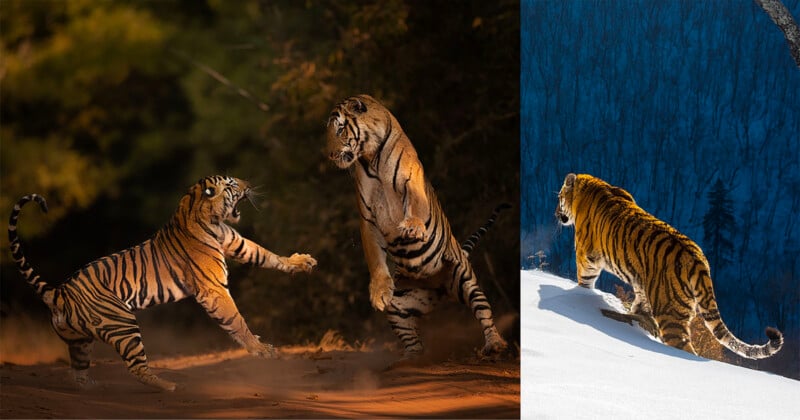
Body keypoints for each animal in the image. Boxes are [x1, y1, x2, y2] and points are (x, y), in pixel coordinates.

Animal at [8, 176, 318, 392]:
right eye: (232, 184)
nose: (249, 184)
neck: (211, 219)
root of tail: (59, 292)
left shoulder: (237, 243)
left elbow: (266, 255)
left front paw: (302, 262)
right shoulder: (214, 289)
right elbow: (236, 320)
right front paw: (261, 350)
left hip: (80, 342)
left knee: (78, 370)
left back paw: (92, 387)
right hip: (123, 324)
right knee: (136, 368)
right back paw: (169, 386)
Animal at [328, 93, 510, 360]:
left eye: (340, 129)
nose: (330, 155)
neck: (371, 159)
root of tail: (440, 289)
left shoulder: (411, 182)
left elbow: (414, 204)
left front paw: (412, 227)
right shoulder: (367, 218)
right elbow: (374, 259)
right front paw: (378, 293)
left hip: (466, 280)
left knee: (484, 313)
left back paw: (495, 344)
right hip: (398, 308)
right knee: (413, 340)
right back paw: (411, 359)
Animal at [552, 172, 784, 360]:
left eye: (559, 197)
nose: (555, 213)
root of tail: (698, 259)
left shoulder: (586, 257)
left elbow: (585, 281)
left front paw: (581, 294)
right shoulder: (640, 280)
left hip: (670, 313)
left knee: (684, 347)